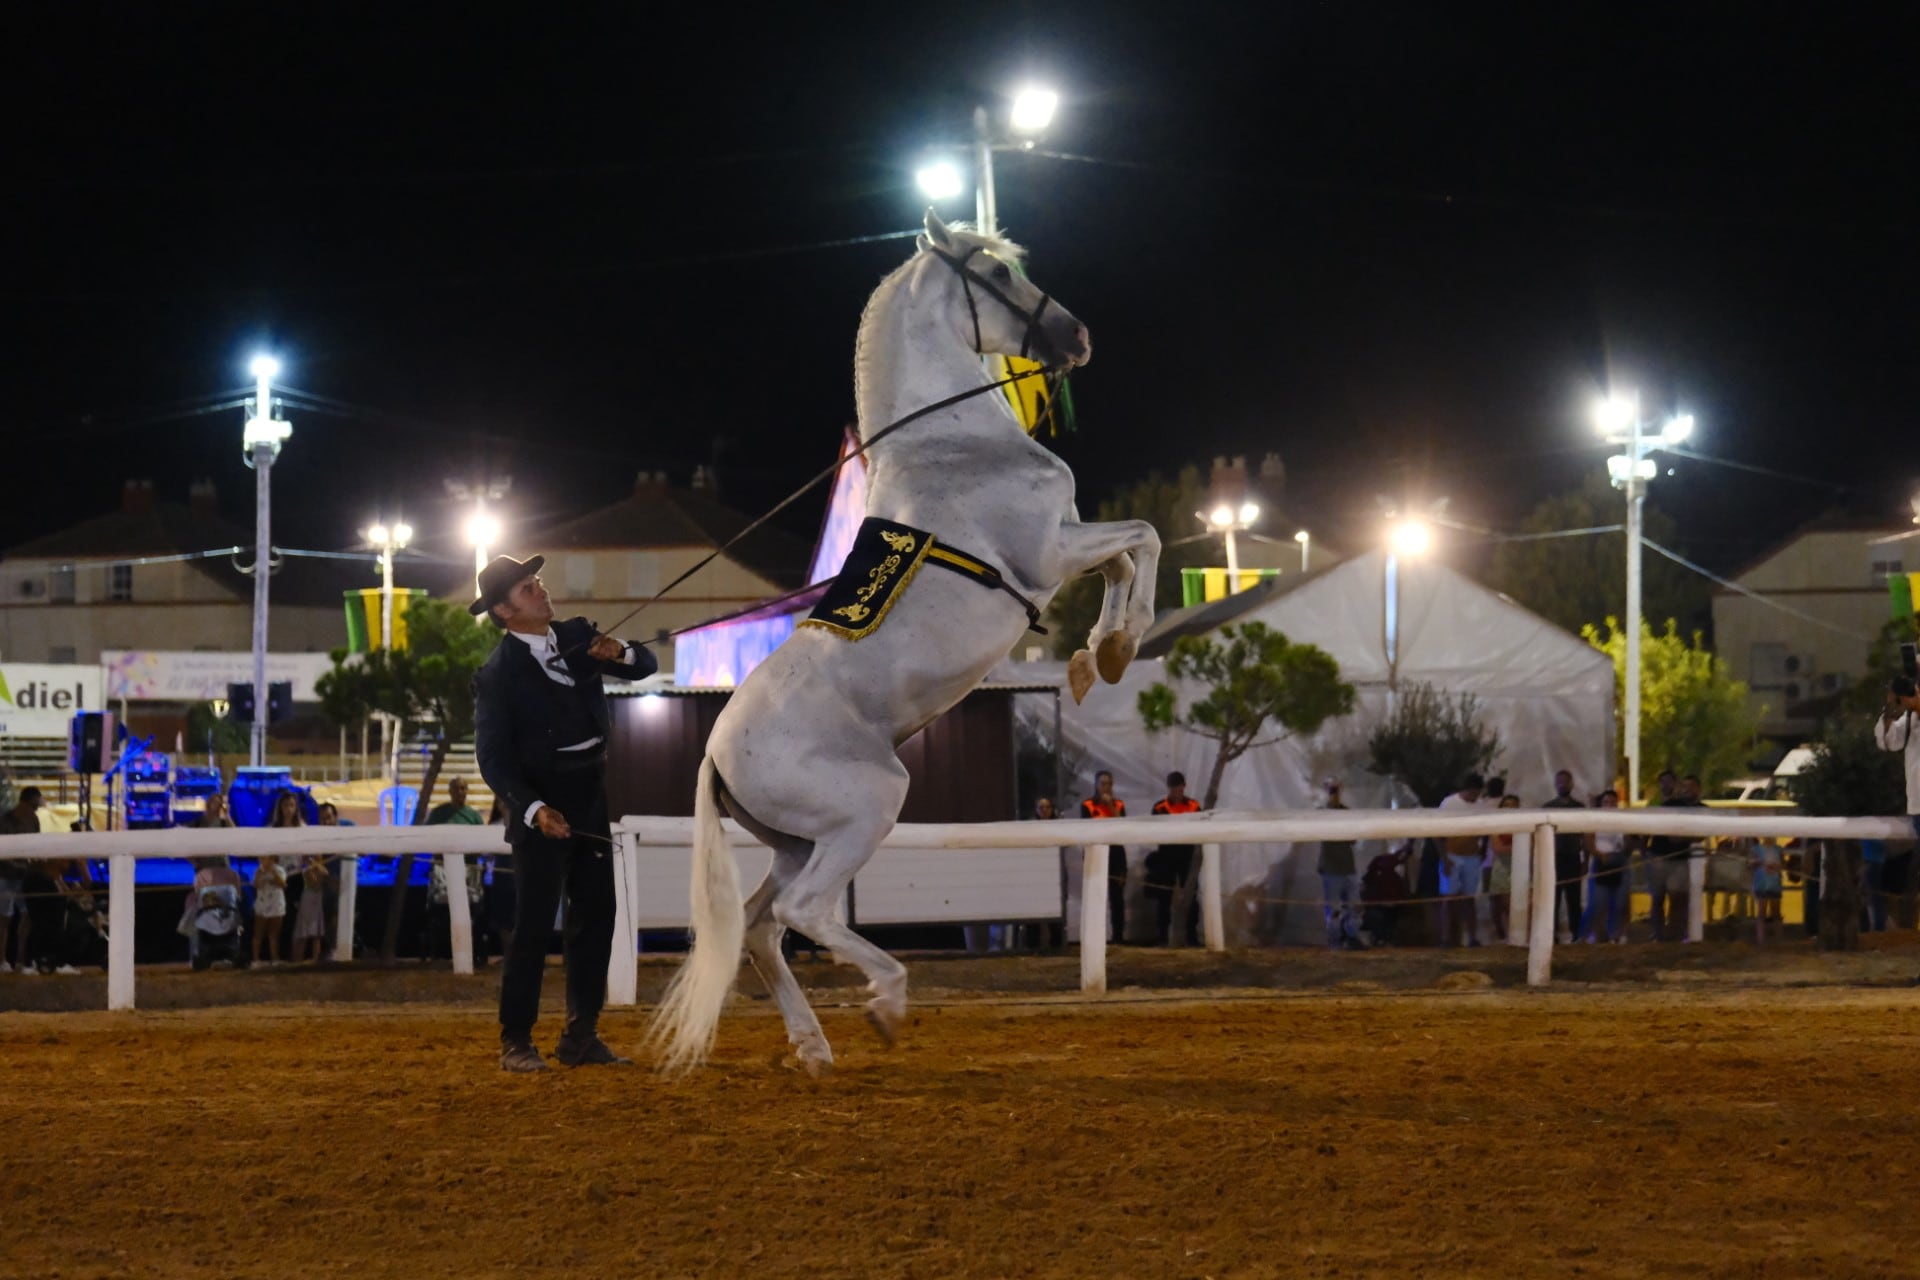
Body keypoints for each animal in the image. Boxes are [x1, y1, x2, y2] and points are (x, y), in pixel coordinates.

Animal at [648, 214, 1152, 1074]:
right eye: (997, 273)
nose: (1077, 337)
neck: (951, 439)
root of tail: (714, 755)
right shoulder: (1050, 552)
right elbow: (1142, 539)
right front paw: (1119, 645)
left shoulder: (1065, 548)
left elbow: (1123, 561)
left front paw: (1102, 657)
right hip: (867, 809)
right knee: (807, 914)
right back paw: (884, 1000)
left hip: (798, 841)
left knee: (761, 924)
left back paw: (814, 1046)